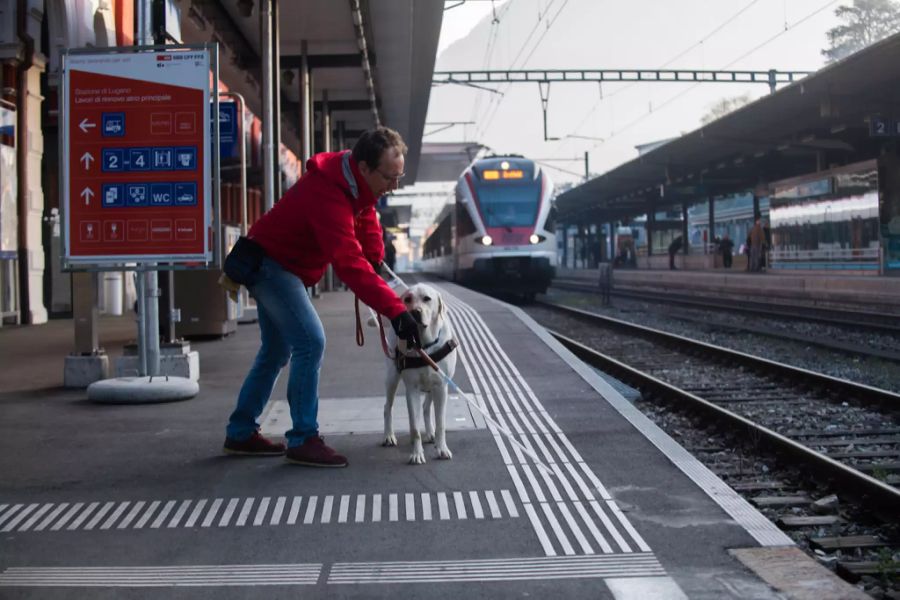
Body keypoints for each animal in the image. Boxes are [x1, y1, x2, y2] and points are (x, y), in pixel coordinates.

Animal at [384, 282, 460, 464]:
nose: (415, 312)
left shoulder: (441, 387)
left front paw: (442, 449)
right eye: (407, 299)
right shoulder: (412, 390)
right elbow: (414, 427)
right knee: (387, 407)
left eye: (427, 298)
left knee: (426, 408)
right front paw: (417, 454)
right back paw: (389, 436)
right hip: (392, 378)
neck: (424, 345)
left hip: (433, 386)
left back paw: (431, 434)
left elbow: (440, 423)